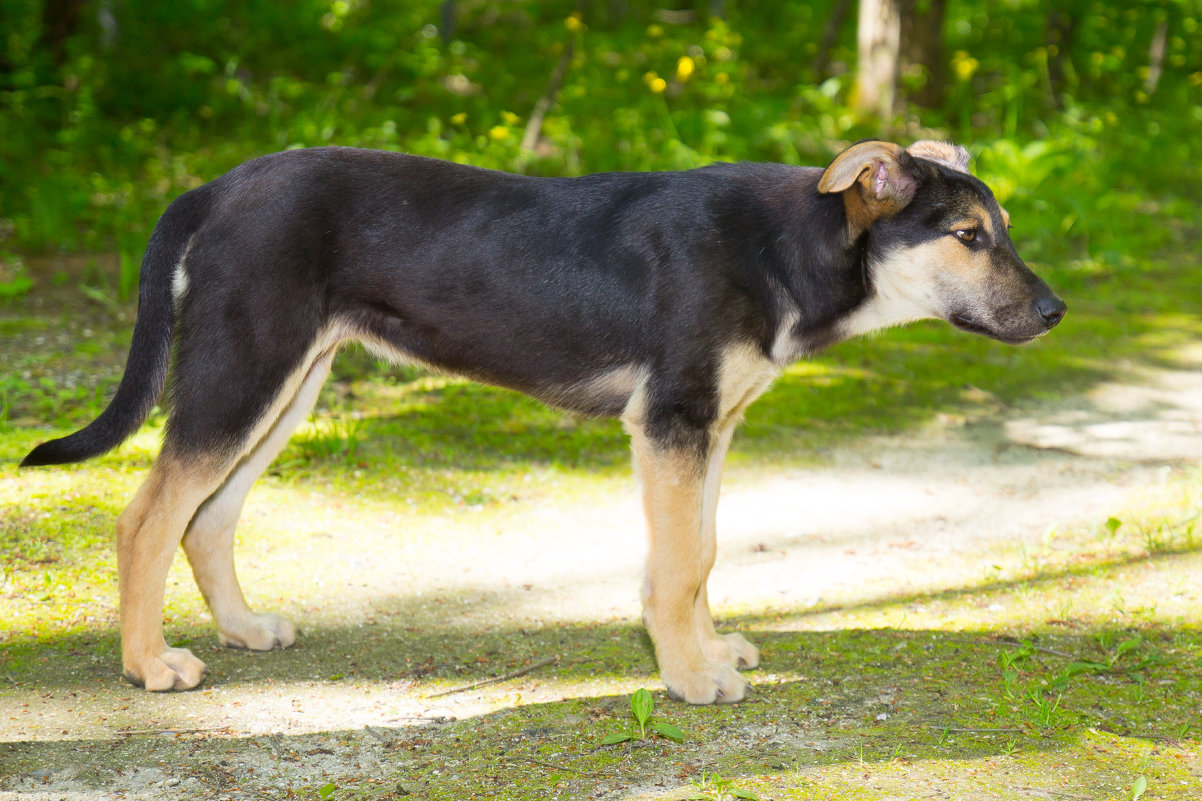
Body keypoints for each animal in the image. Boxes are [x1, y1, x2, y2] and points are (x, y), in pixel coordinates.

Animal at [23, 140, 1062, 702]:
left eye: (1002, 232)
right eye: (967, 236)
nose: (1054, 313)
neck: (787, 242)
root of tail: (220, 185)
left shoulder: (708, 428)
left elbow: (700, 554)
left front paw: (707, 648)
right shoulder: (672, 423)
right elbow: (678, 565)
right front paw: (690, 678)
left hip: (288, 383)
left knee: (208, 516)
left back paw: (242, 628)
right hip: (244, 372)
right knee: (148, 515)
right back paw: (149, 665)